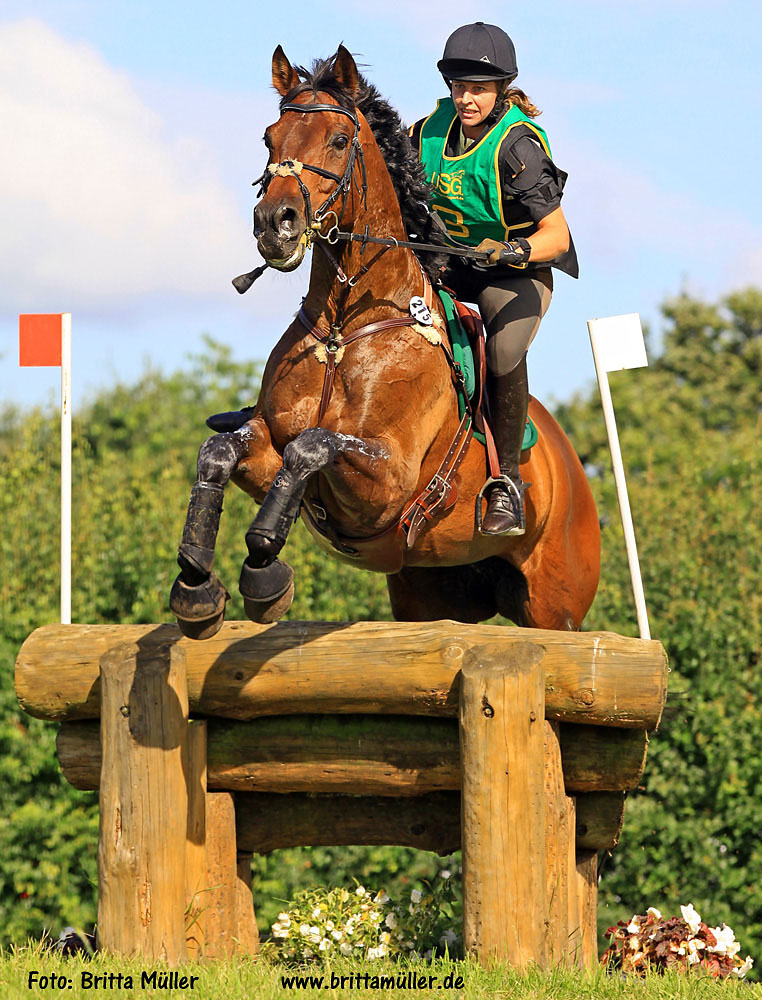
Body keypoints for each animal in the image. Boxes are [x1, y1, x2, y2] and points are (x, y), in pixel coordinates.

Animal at [168, 45, 600, 640]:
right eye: (269, 138)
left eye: (338, 140)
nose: (274, 225)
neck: (341, 329)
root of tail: (574, 470)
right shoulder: (268, 444)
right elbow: (219, 452)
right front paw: (196, 587)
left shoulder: (388, 483)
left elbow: (313, 445)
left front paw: (263, 574)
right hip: (430, 589)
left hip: (555, 608)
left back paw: (504, 504)